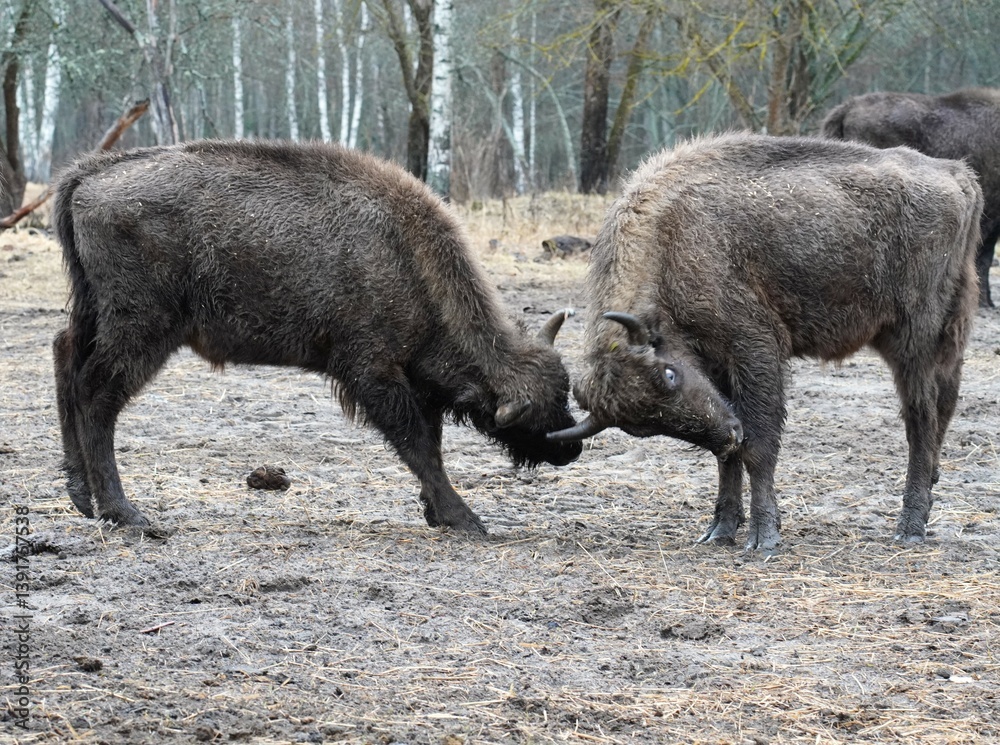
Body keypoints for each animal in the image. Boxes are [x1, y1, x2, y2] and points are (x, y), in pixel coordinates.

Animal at [52, 139, 582, 534]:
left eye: (564, 391)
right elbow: (418, 445)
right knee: (96, 394)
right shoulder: (373, 373)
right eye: (530, 415)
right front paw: (464, 518)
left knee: (65, 359)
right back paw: (125, 513)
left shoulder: (411, 379)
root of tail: (90, 172)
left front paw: (437, 512)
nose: (570, 447)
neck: (407, 260)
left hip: (93, 313)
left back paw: (82, 498)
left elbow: (428, 442)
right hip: (142, 328)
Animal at [549, 132, 982, 552]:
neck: (669, 236)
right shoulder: (718, 371)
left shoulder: (753, 349)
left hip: (915, 340)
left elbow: (759, 445)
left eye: (669, 375)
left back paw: (908, 529)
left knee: (921, 420)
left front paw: (763, 537)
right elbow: (727, 461)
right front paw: (719, 532)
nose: (729, 434)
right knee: (944, 405)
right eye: (643, 428)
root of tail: (957, 174)